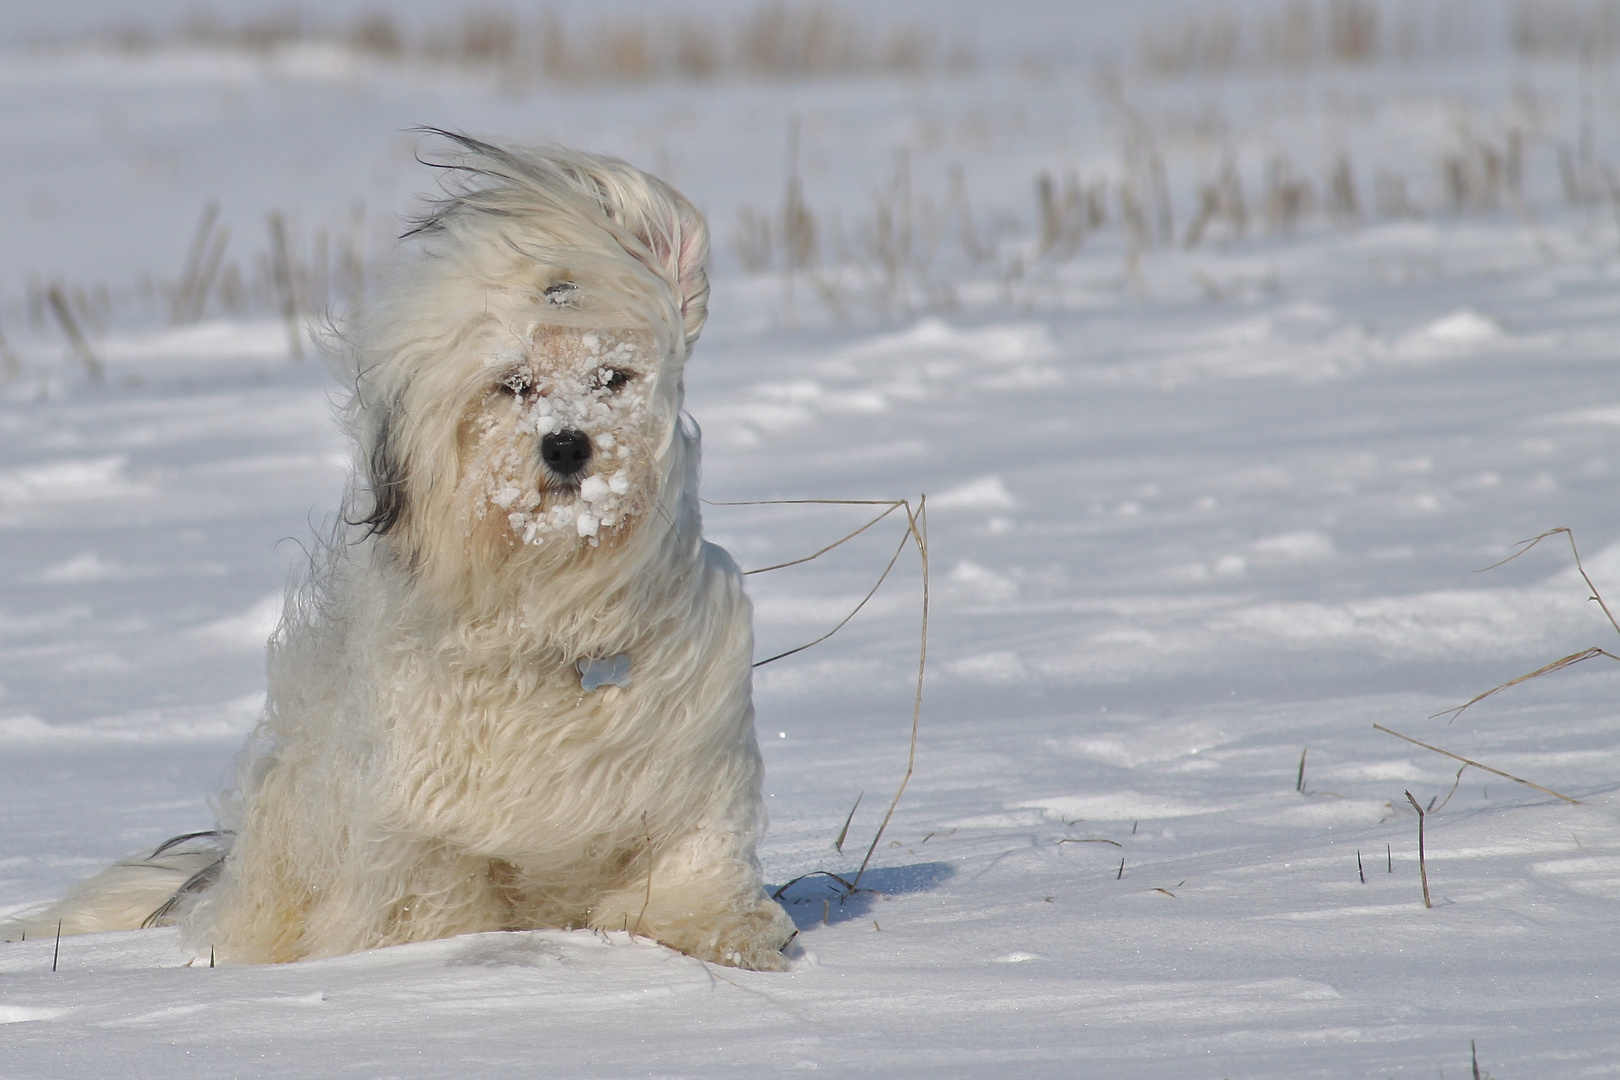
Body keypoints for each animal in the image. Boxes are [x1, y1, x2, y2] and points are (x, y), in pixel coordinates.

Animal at [3, 132, 800, 971]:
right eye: (514, 384)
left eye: (613, 376)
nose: (566, 446)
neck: (555, 608)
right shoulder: (425, 826)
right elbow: (428, 909)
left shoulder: (692, 773)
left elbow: (690, 868)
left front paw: (720, 936)